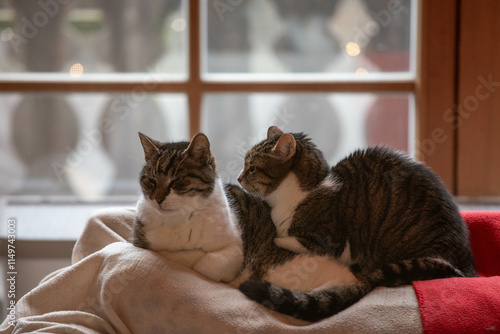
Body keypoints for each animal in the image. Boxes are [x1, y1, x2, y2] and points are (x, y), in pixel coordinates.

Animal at [133, 132, 242, 284]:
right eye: (151, 181)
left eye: (177, 181)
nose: (158, 199)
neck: (179, 218)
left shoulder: (235, 247)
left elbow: (207, 264)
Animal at [238, 125, 476, 320]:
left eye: (252, 168)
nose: (239, 178)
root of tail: (467, 266)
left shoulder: (326, 242)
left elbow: (283, 238)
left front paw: (275, 238)